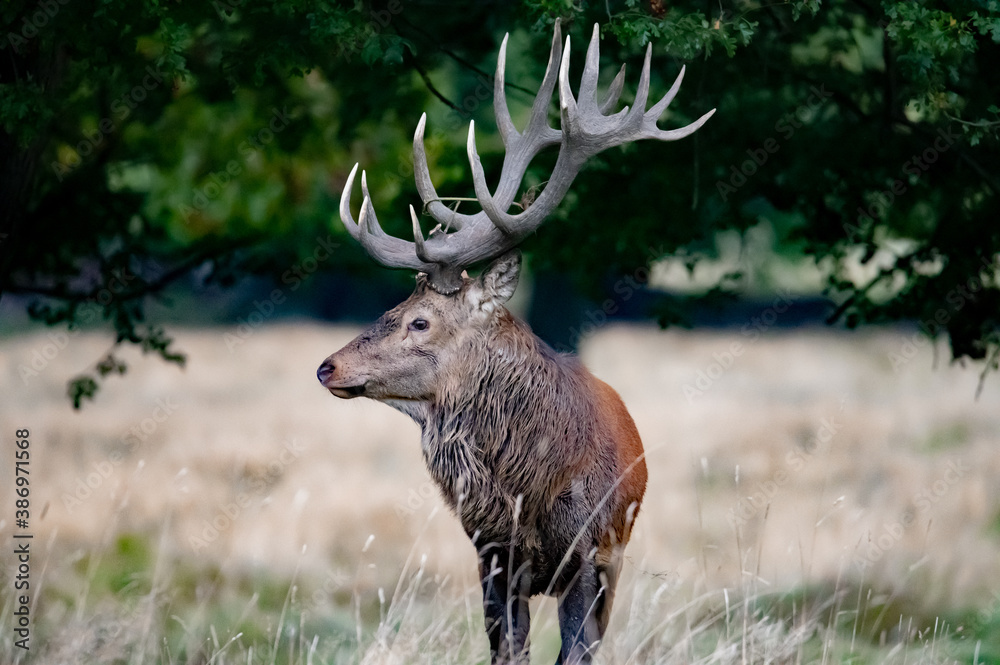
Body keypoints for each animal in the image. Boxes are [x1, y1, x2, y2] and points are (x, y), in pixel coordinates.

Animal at [317, 21, 713, 665]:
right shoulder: (493, 553)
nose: (327, 367)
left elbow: (574, 652)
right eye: (392, 307)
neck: (534, 492)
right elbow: (509, 650)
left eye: (419, 322)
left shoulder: (593, 555)